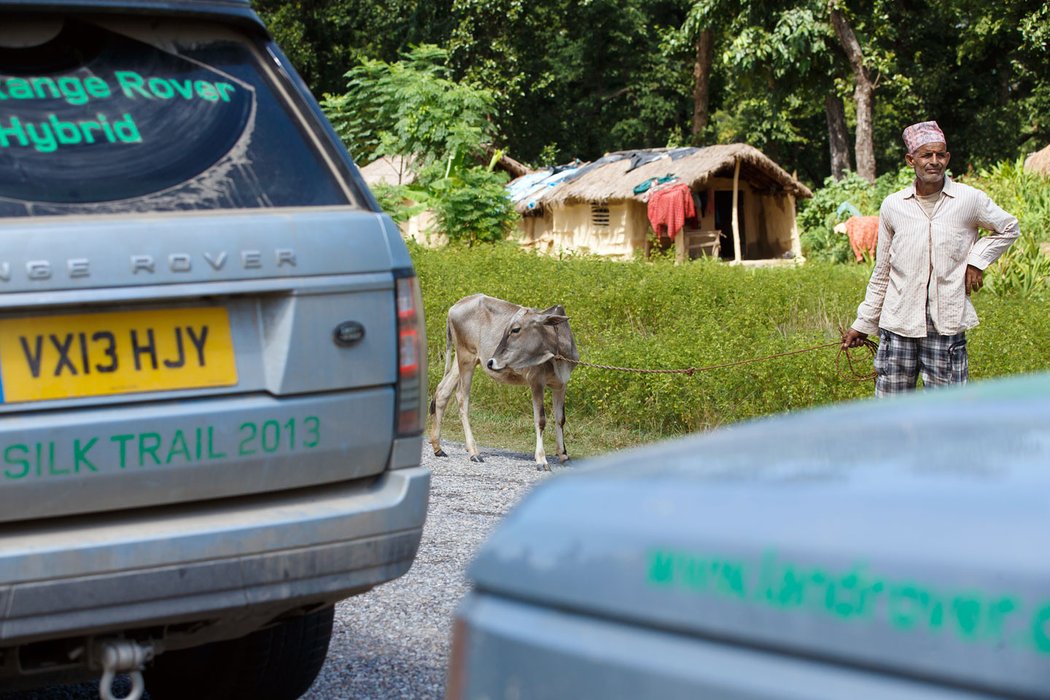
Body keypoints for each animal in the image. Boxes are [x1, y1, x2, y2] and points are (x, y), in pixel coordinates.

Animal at [428, 293, 583, 470]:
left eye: (515, 329)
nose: (491, 362)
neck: (557, 354)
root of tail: (455, 306)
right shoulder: (536, 381)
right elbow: (540, 420)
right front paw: (541, 459)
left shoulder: (561, 384)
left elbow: (560, 419)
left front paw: (564, 455)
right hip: (466, 357)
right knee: (461, 397)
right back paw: (474, 451)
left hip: (461, 361)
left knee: (443, 392)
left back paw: (438, 447)